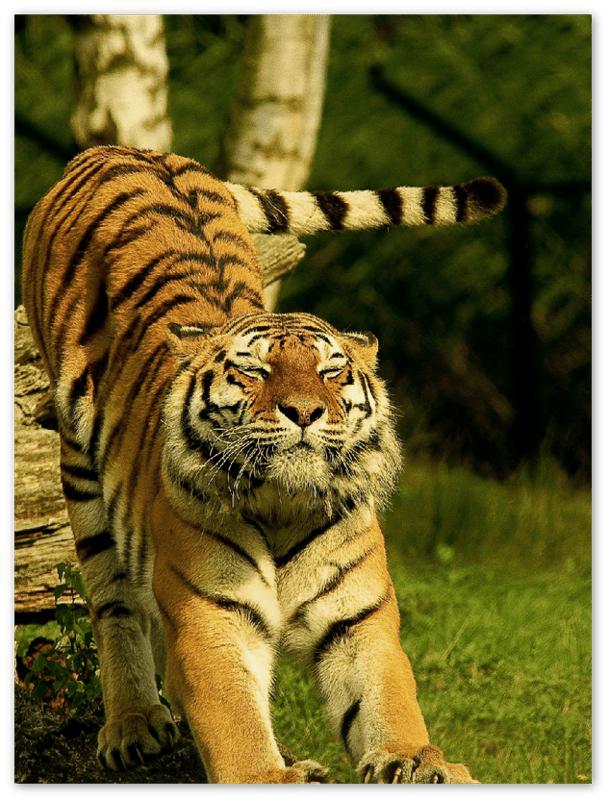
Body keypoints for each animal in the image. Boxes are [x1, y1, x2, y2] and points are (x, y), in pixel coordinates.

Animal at [22, 145, 505, 784]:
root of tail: (124, 150)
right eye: (254, 371)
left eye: (331, 371)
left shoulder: (360, 620)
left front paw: (418, 761)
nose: (303, 410)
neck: (283, 504)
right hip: (80, 468)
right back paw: (133, 725)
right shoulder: (211, 617)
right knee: (112, 600)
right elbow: (234, 718)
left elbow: (388, 699)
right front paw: (272, 774)